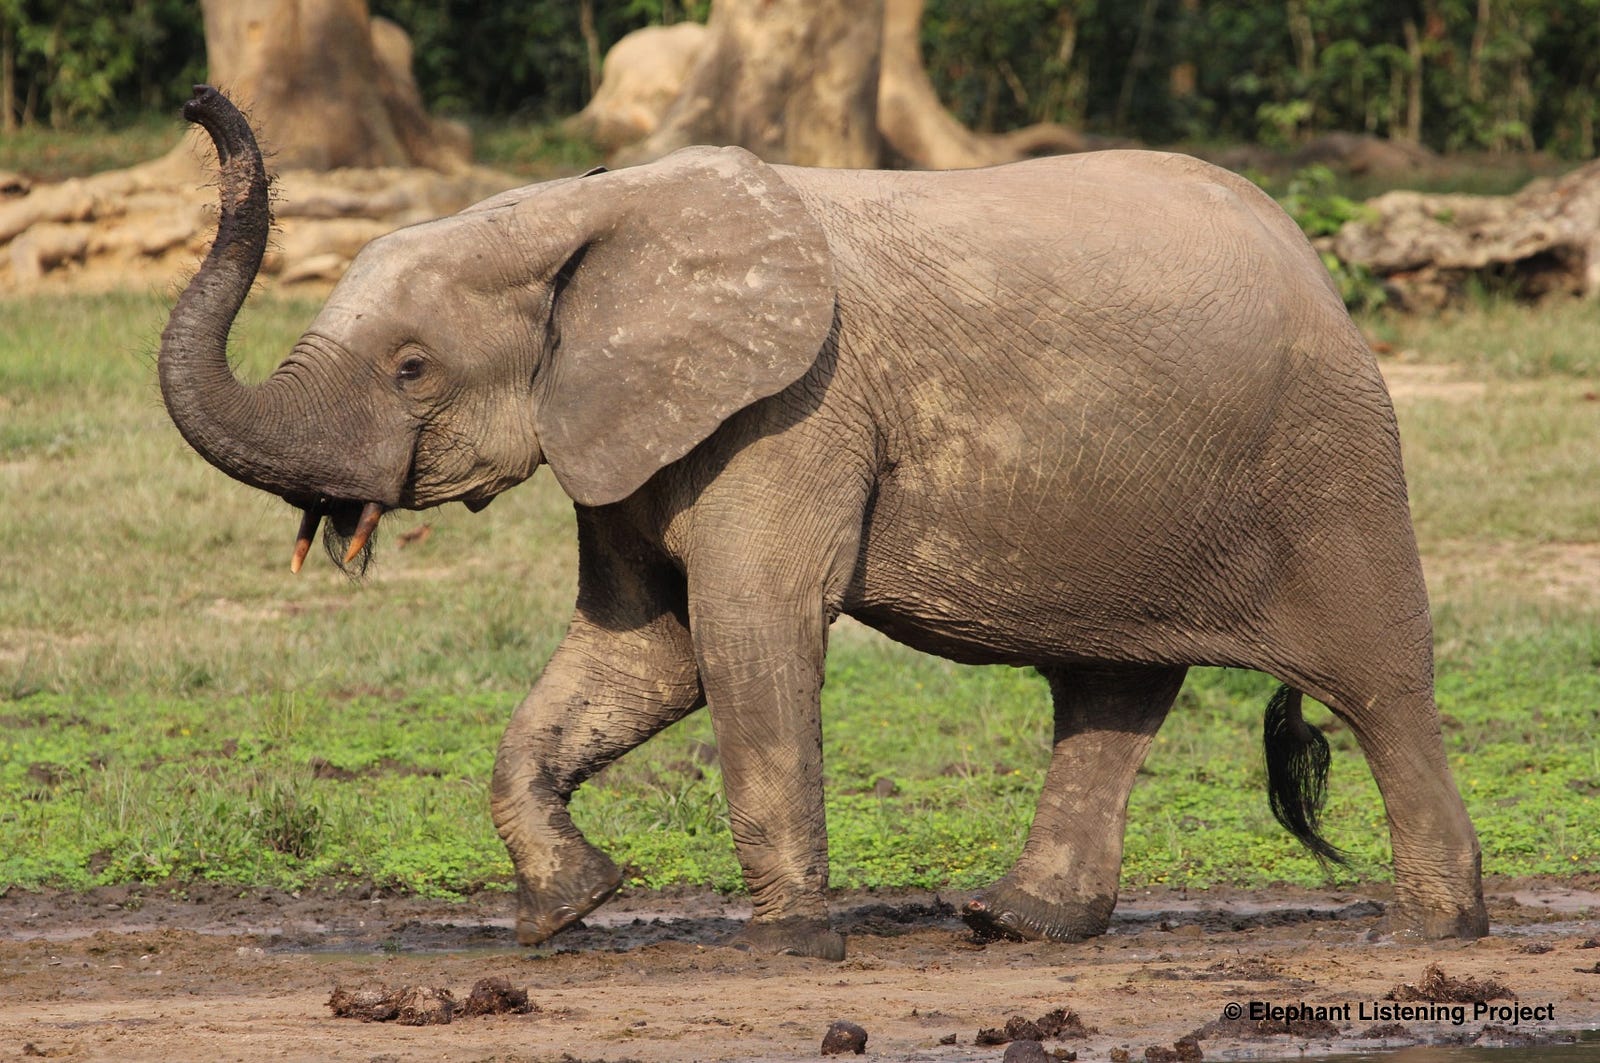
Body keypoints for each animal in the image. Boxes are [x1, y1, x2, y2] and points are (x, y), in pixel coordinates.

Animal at [162, 87, 1484, 960]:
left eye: (412, 370)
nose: (197, 99)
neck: (583, 216)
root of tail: (1311, 257)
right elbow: (642, 653)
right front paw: (566, 908)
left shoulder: (795, 409)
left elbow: (748, 634)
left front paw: (789, 946)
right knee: (1107, 691)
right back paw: (1014, 924)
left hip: (1328, 460)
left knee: (1379, 682)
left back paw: (1433, 931)